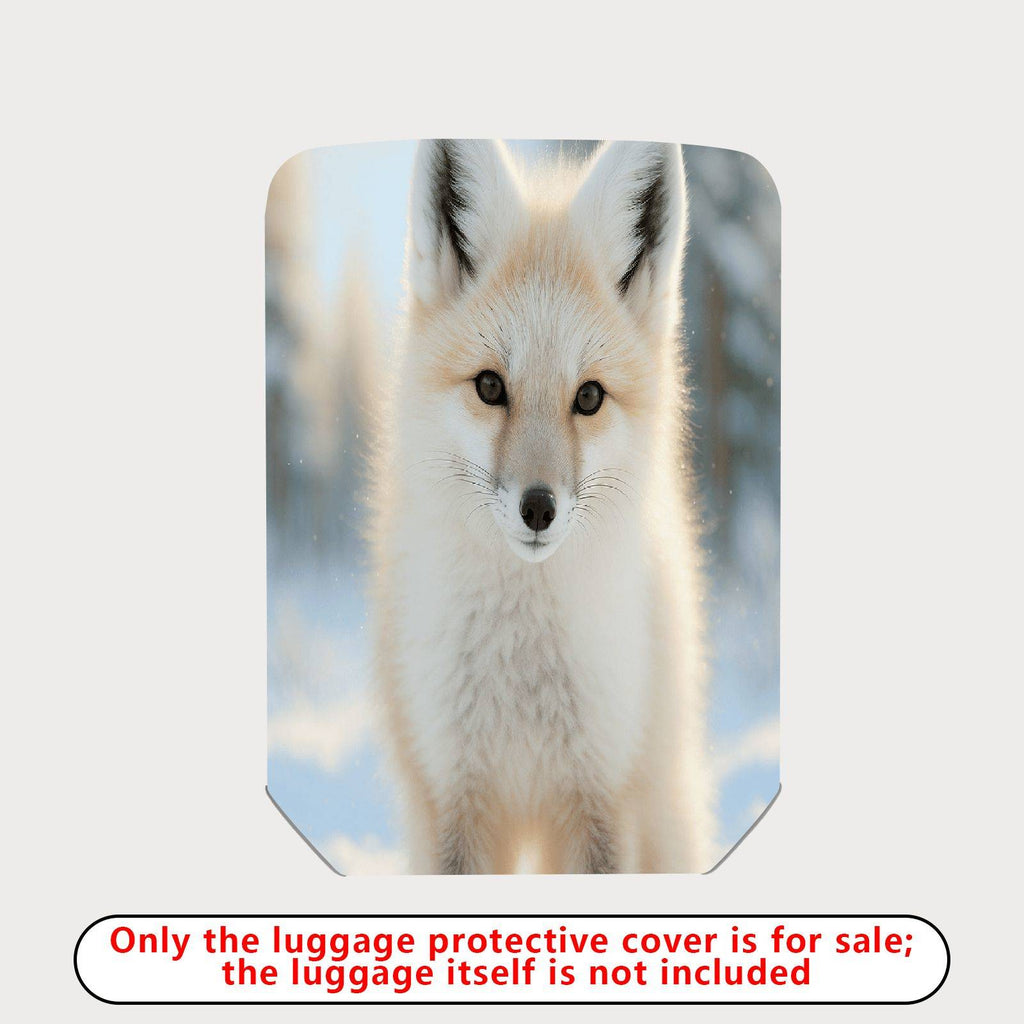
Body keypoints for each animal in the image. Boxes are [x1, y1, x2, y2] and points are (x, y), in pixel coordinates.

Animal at [369, 139, 714, 874]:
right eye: (490, 387)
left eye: (588, 397)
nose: (538, 508)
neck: (521, 671)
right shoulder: (454, 802)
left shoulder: (602, 803)